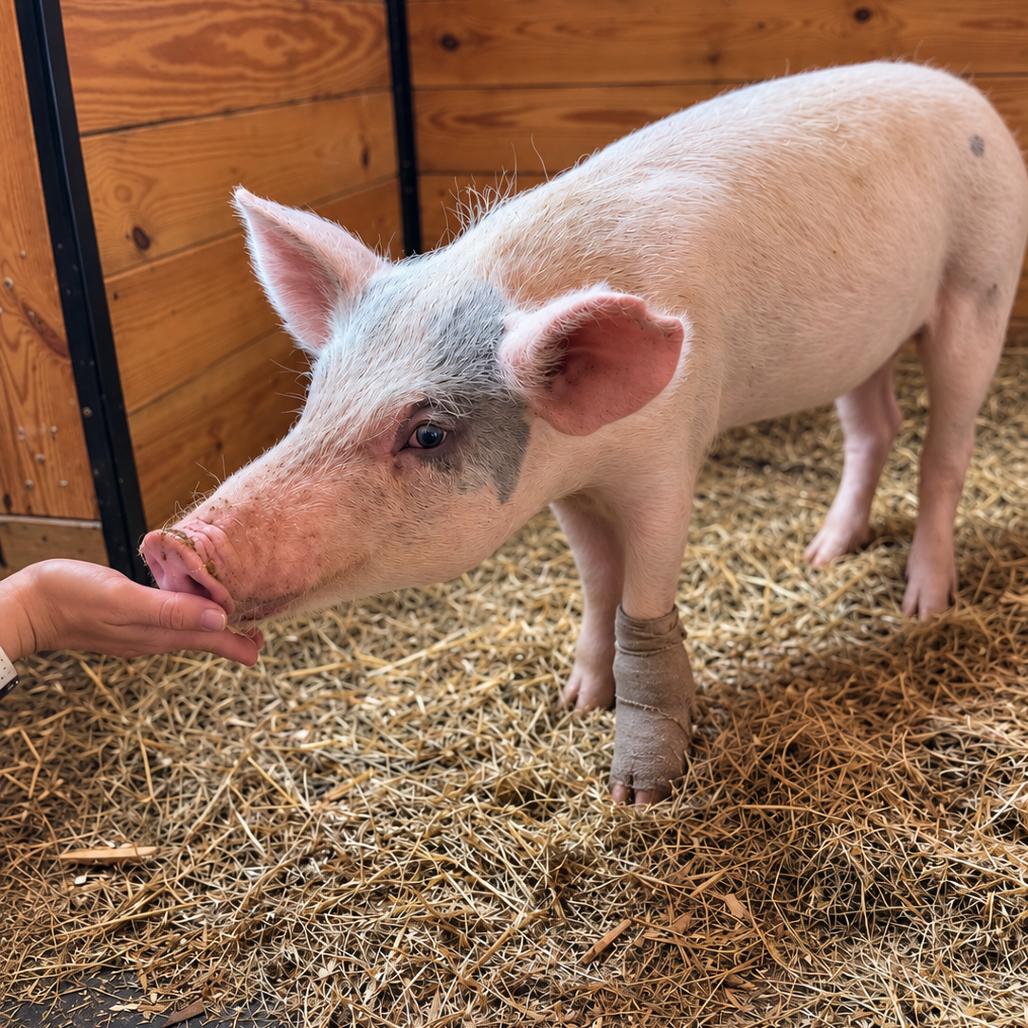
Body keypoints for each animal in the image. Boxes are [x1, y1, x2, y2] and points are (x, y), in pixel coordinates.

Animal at [142, 62, 1028, 805]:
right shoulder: (564, 487)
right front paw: (574, 703)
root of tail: (970, 95)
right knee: (874, 427)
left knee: (944, 449)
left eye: (427, 436)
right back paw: (822, 554)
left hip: (980, 287)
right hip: (863, 341)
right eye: (318, 389)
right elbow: (598, 582)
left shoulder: (668, 460)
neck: (593, 457)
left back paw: (922, 606)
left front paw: (639, 792)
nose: (172, 547)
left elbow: (642, 598)